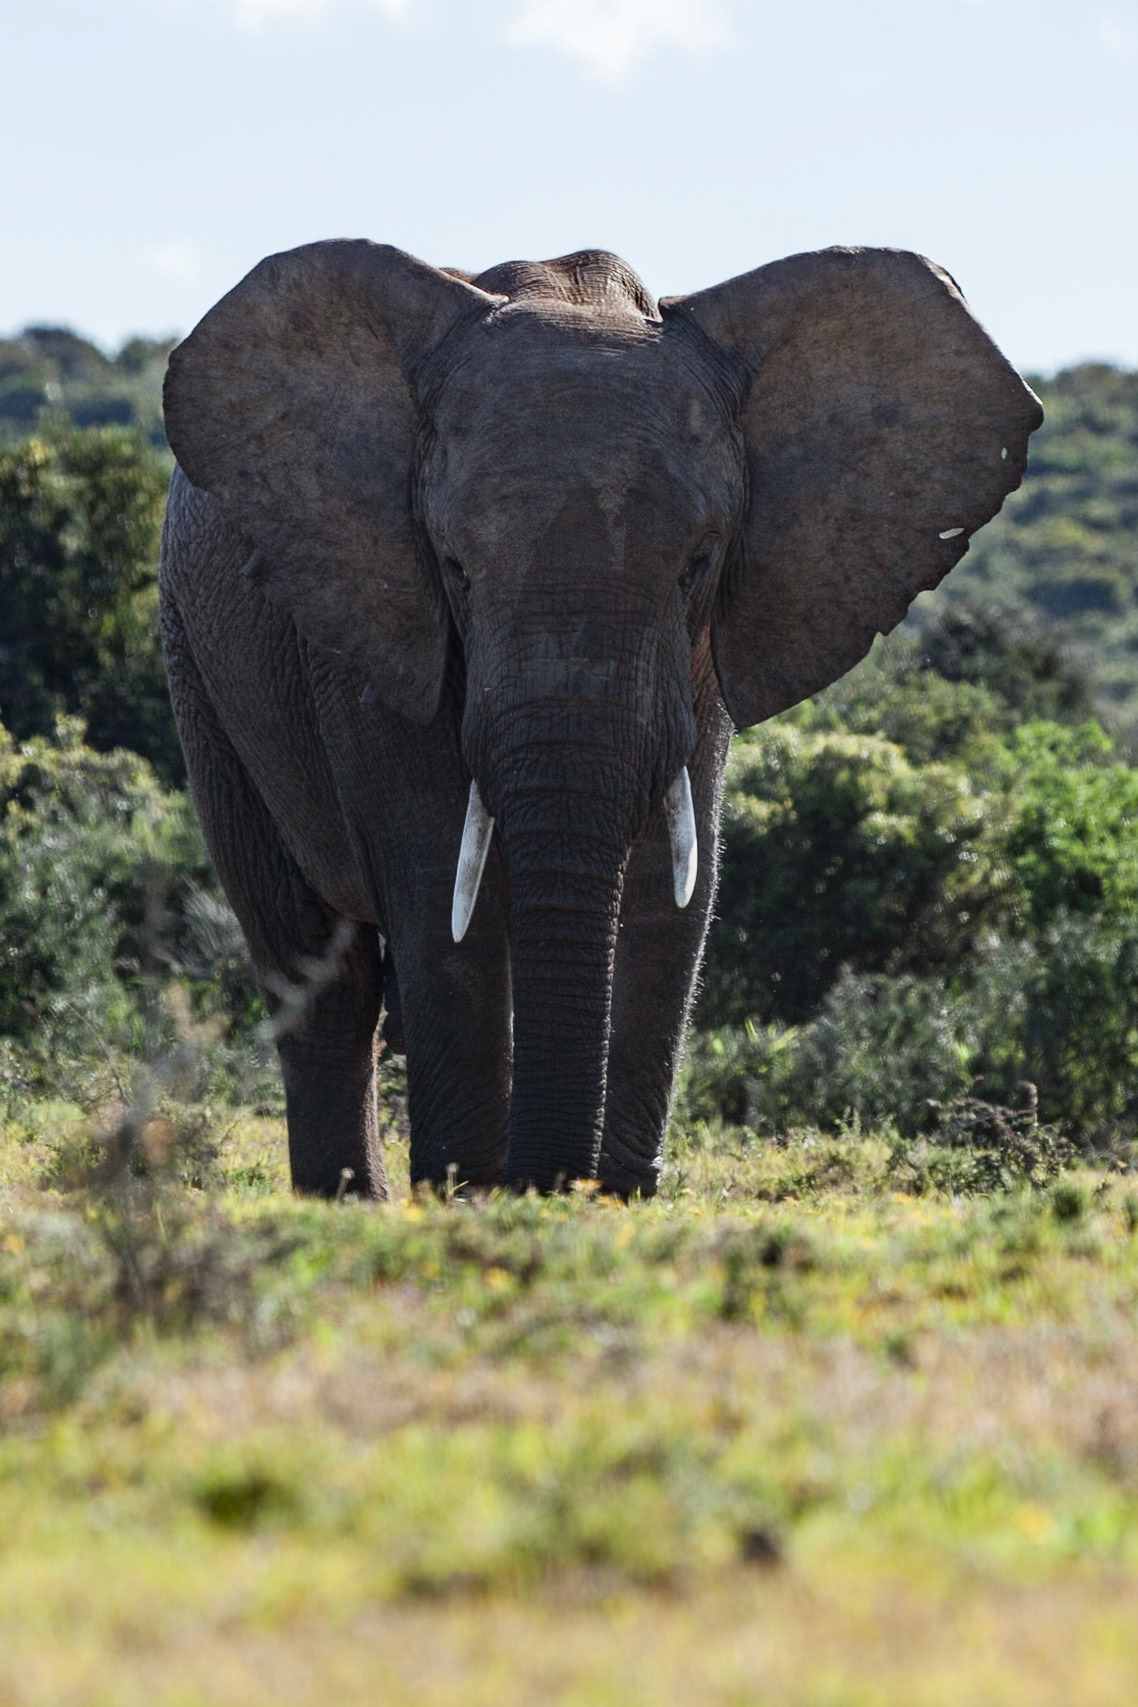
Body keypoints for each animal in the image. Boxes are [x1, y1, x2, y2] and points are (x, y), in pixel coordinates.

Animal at [159, 240, 1042, 1199]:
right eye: (454, 565)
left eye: (699, 561)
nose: (551, 1183)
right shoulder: (374, 621)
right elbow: (437, 883)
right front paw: (470, 1190)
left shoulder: (698, 659)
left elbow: (671, 883)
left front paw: (612, 1192)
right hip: (198, 666)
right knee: (315, 957)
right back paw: (348, 1200)